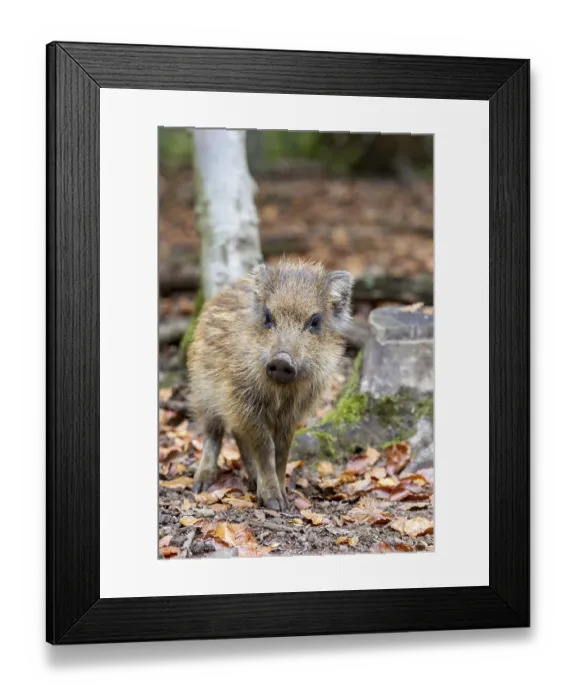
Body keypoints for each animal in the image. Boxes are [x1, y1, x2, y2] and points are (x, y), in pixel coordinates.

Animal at [187, 259, 353, 511]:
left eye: (315, 321)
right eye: (267, 317)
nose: (282, 360)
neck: (279, 392)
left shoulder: (292, 412)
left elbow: (282, 449)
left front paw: (283, 500)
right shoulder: (240, 399)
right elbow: (265, 446)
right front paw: (275, 503)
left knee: (237, 434)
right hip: (202, 390)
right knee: (214, 432)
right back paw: (200, 485)